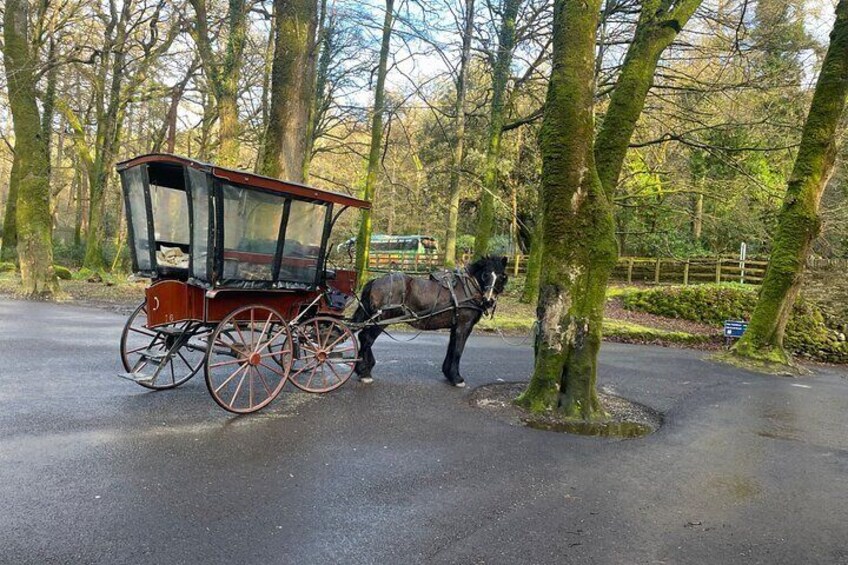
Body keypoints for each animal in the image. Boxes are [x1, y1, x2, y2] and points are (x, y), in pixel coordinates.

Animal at [352, 256, 506, 386]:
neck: (468, 289)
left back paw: (363, 367)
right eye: (485, 274)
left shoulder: (455, 326)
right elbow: (458, 350)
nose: (489, 300)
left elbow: (451, 348)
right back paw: (364, 372)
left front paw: (448, 373)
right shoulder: (464, 325)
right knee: (366, 338)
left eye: (502, 277)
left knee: (364, 337)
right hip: (383, 318)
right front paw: (456, 378)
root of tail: (376, 281)